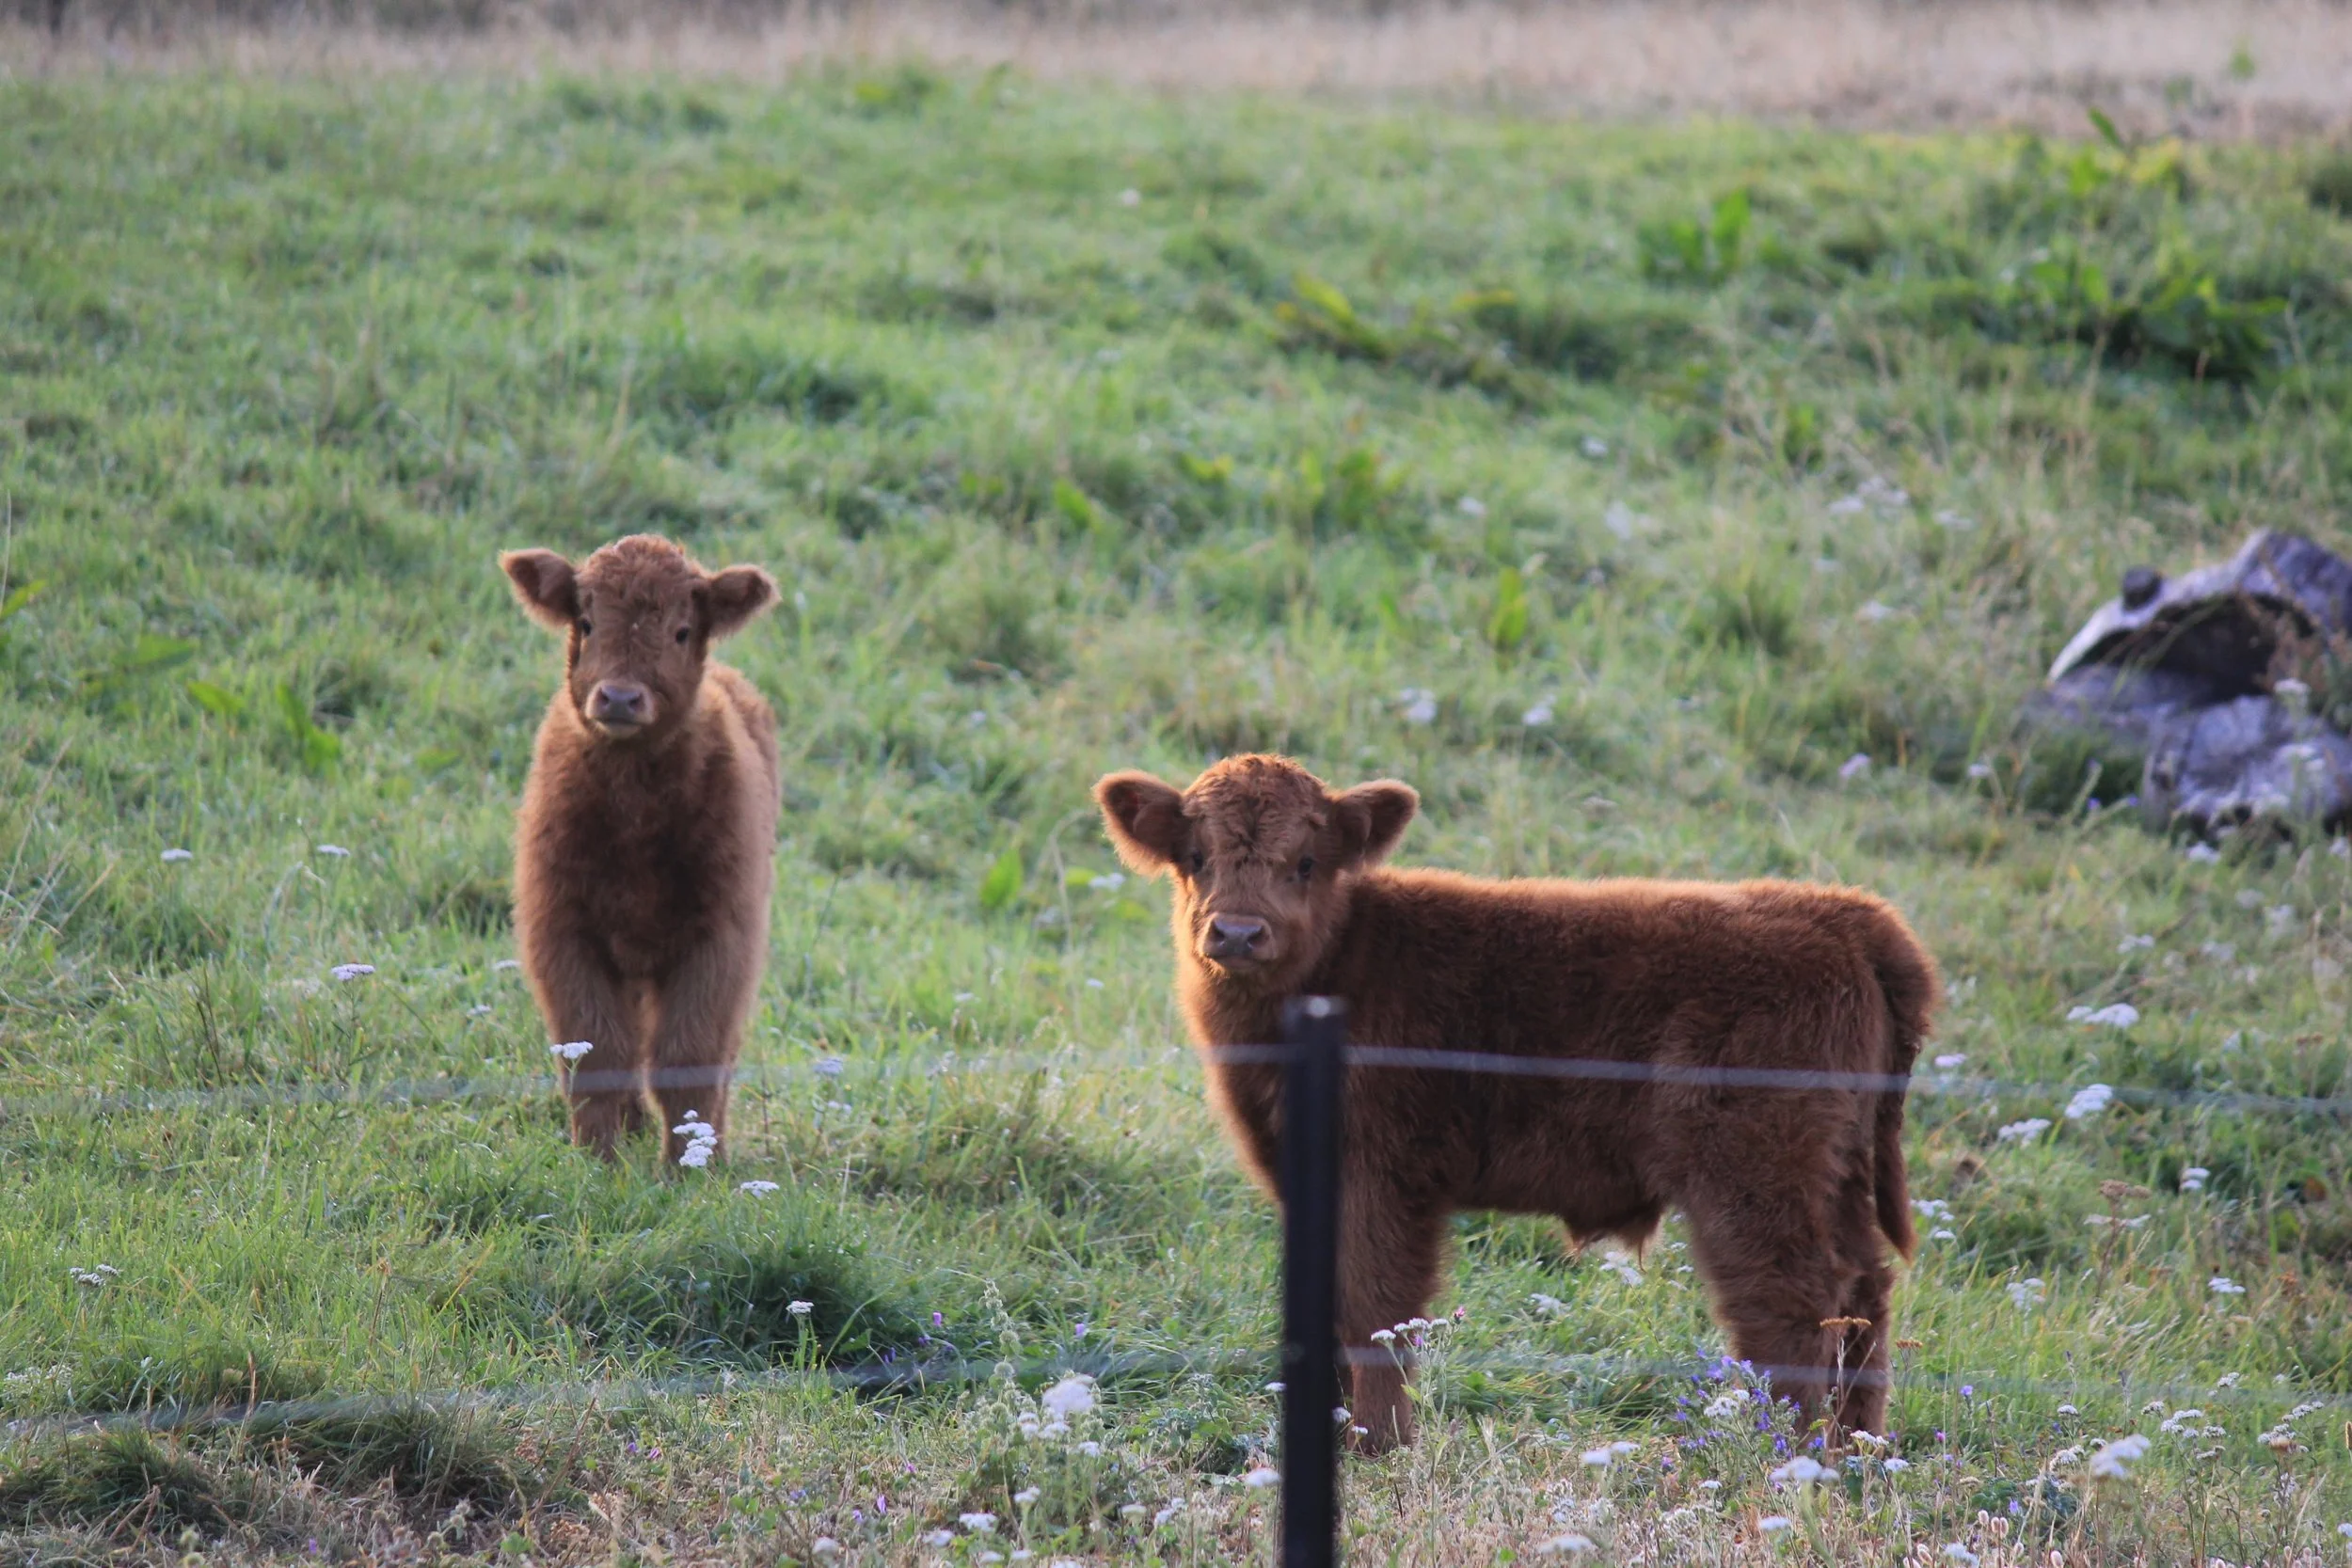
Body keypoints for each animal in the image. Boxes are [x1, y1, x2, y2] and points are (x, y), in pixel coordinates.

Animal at [501, 533, 780, 1164]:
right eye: (586, 622)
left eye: (681, 630)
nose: (621, 698)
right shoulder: (562, 929)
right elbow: (595, 1053)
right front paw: (596, 1162)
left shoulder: (721, 938)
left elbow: (688, 1056)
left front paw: (691, 1169)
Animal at [1093, 753, 1936, 1451]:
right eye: (1195, 857)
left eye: (1304, 861)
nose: (1237, 932)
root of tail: (1843, 914)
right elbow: (1326, 1309)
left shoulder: (1383, 1180)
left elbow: (1377, 1310)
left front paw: (1377, 1443)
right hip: (1834, 1175)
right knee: (1863, 1291)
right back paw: (1859, 1449)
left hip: (1756, 1178)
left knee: (1793, 1305)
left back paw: (1786, 1456)